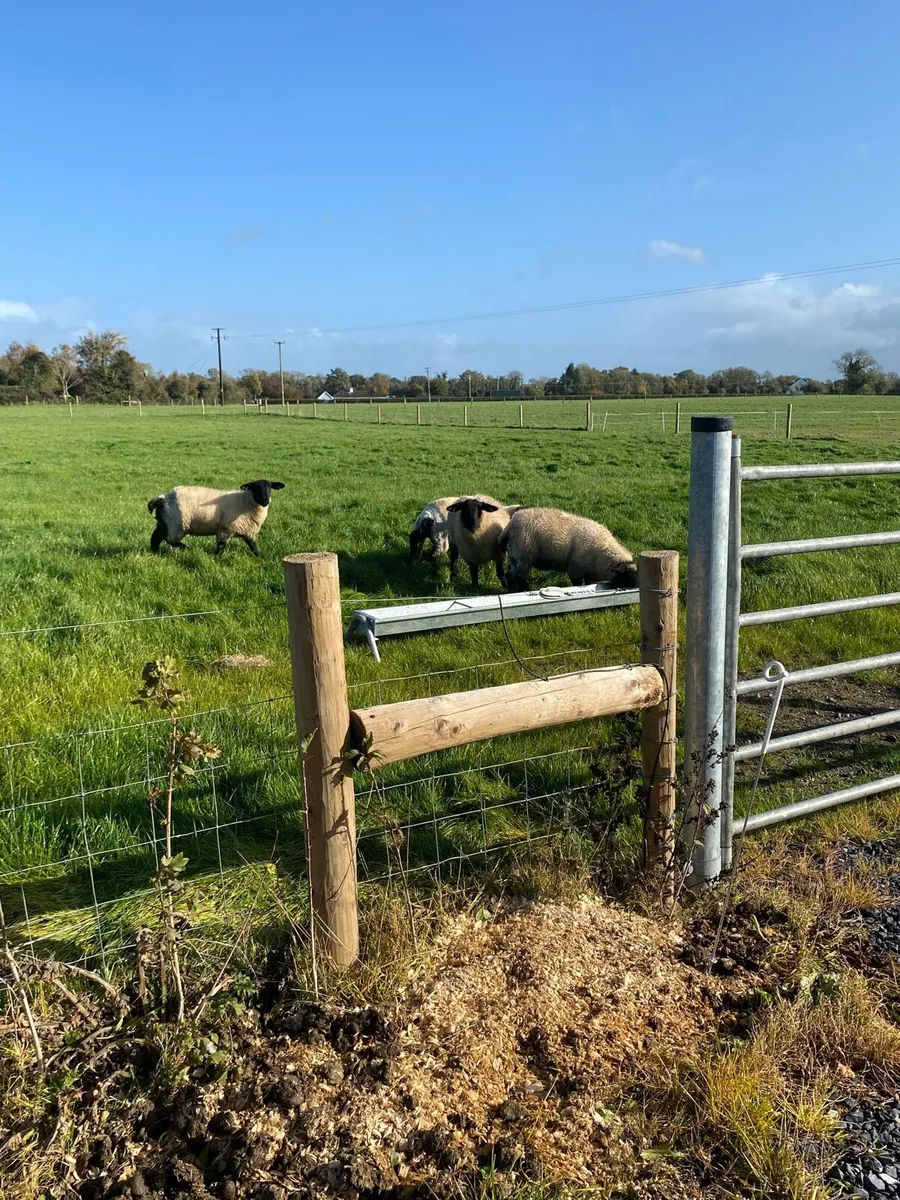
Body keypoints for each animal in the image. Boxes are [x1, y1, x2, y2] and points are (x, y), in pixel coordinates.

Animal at [147, 480, 285, 556]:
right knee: (169, 540)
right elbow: (221, 546)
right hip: (177, 525)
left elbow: (253, 547)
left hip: (165, 521)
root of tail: (163, 498)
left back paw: (155, 551)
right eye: (255, 488)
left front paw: (259, 557)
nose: (265, 500)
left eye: (270, 487)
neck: (245, 501)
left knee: (156, 537)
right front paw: (217, 558)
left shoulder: (248, 531)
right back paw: (185, 547)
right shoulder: (225, 529)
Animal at [499, 506, 638, 592]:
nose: (636, 586)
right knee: (514, 575)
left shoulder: (588, 573)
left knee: (513, 575)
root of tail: (511, 523)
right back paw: (520, 590)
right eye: (626, 575)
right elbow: (577, 584)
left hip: (517, 555)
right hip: (522, 553)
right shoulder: (575, 569)